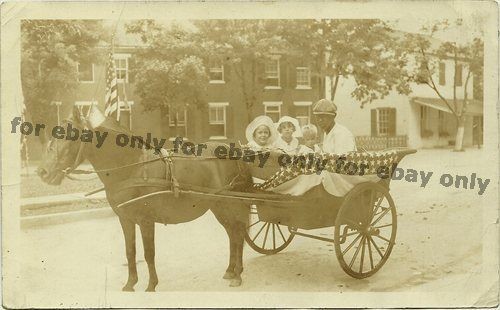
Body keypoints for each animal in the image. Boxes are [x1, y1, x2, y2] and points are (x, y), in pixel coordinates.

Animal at [37, 105, 252, 292]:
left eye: (70, 136)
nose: (42, 172)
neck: (132, 167)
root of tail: (235, 151)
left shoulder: (146, 220)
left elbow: (149, 253)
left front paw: (151, 285)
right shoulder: (125, 219)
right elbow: (130, 251)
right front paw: (130, 284)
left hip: (231, 204)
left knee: (238, 234)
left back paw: (238, 275)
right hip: (218, 206)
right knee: (233, 235)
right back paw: (231, 271)